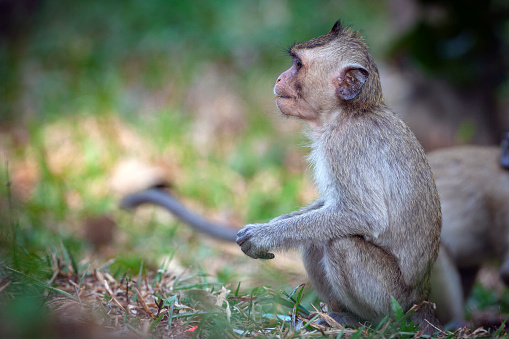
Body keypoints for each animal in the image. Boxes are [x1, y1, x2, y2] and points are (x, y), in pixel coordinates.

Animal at [121, 21, 442, 334]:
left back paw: (367, 322)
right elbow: (327, 208)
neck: (348, 113)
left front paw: (263, 236)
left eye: (298, 65)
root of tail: (422, 301)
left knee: (341, 243)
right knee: (315, 241)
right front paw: (271, 225)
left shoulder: (347, 145)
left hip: (392, 298)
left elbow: (363, 215)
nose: (278, 78)